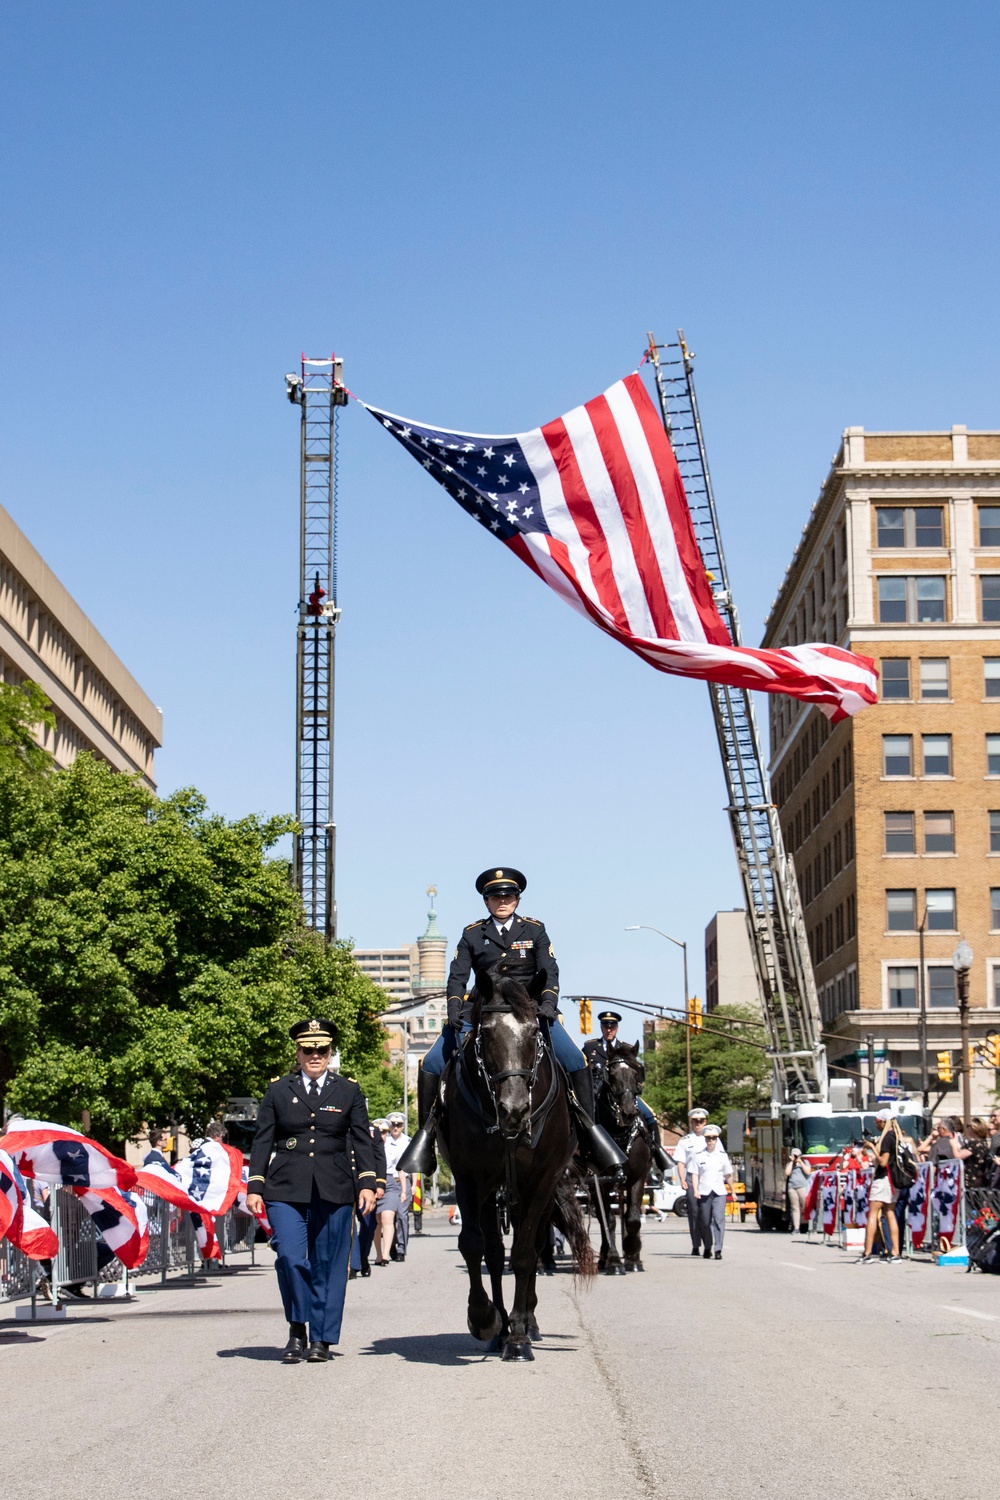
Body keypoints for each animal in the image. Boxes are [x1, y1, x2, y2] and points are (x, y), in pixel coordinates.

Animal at [437, 960, 593, 1362]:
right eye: (486, 1033)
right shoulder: (469, 1178)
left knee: (533, 1245)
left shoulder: (541, 1179)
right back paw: (501, 1328)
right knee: (494, 1252)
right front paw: (484, 1319)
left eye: (535, 1033)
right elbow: (473, 1245)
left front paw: (520, 1338)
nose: (515, 1110)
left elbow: (524, 1254)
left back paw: (527, 1323)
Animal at [590, 1044, 653, 1278]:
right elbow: (608, 1221)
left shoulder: (638, 1178)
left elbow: (632, 1218)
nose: (627, 1112)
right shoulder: (600, 1182)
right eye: (613, 1075)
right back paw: (605, 1258)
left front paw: (633, 1257)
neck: (618, 1134)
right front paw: (615, 1261)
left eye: (637, 1073)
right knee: (602, 1220)